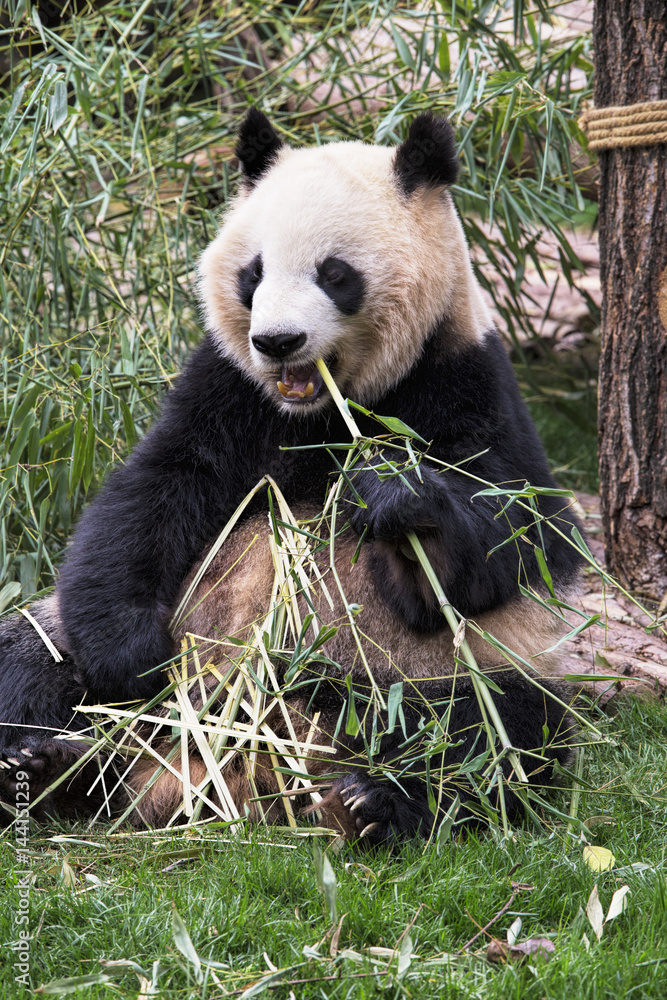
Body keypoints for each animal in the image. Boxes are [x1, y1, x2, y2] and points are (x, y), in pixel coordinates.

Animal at [0, 109, 583, 842]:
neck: (318, 409)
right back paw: (51, 766)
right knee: (31, 655)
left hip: (450, 669)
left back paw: (373, 798)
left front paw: (393, 495)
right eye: (253, 272)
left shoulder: (466, 382)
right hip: (88, 654)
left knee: (492, 730)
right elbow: (149, 495)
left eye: (334, 274)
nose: (278, 342)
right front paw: (131, 659)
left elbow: (513, 536)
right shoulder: (225, 390)